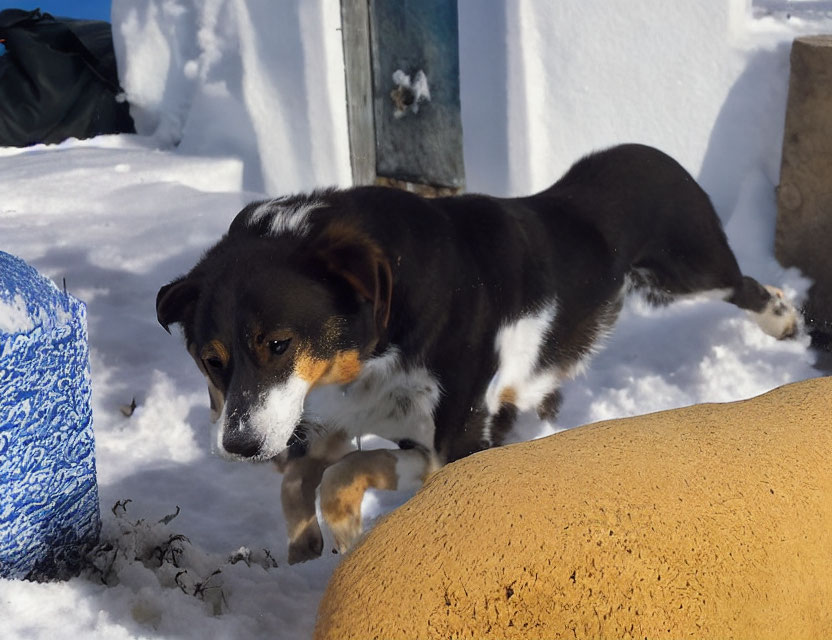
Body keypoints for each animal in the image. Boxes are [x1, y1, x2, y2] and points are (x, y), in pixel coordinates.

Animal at [156, 144, 800, 560]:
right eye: (210, 360)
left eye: (278, 343)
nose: (239, 446)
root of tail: (649, 150)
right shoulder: (419, 439)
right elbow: (324, 473)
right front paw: (321, 535)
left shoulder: (459, 438)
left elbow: (339, 472)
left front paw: (342, 531)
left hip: (689, 273)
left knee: (743, 284)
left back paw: (784, 319)